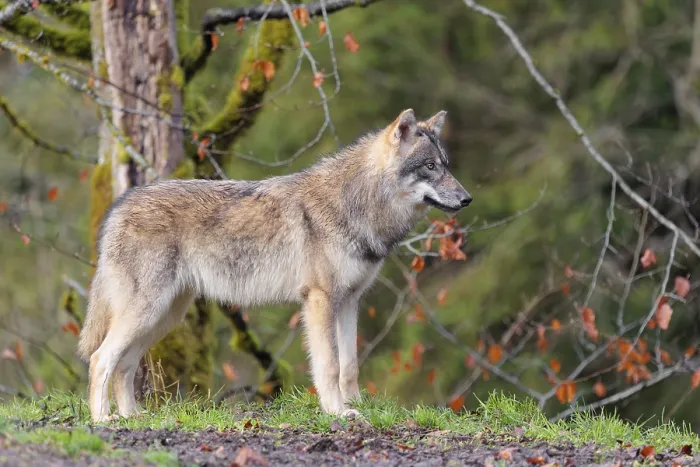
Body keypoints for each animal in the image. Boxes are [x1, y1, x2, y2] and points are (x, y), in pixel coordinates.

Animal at [77, 108, 472, 423]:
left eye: (447, 165)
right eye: (431, 167)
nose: (467, 199)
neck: (357, 205)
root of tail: (119, 205)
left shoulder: (349, 301)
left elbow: (349, 366)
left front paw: (357, 407)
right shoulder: (319, 300)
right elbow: (329, 365)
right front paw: (336, 412)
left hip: (164, 317)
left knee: (124, 365)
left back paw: (133, 416)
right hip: (149, 312)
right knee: (100, 359)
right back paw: (103, 420)